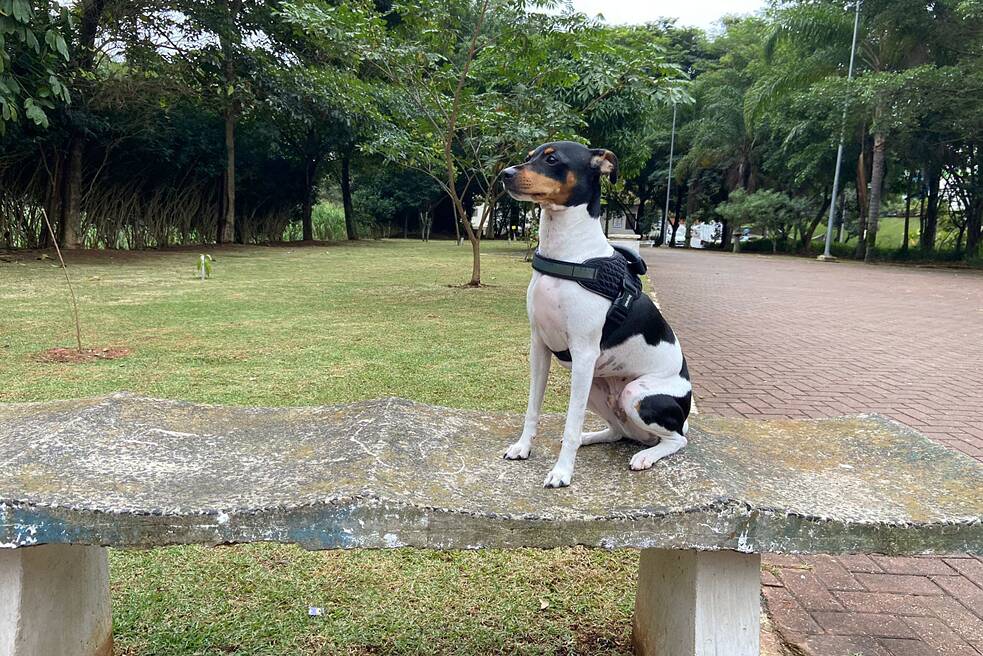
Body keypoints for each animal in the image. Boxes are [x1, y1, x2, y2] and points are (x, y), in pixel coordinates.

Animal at [500, 141, 692, 486]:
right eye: (528, 157)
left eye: (552, 158)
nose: (504, 174)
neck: (568, 254)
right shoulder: (539, 346)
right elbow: (533, 407)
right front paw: (523, 447)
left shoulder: (584, 352)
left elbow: (570, 423)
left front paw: (562, 472)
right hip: (595, 388)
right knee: (618, 431)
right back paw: (594, 437)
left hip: (634, 393)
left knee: (676, 439)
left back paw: (646, 456)